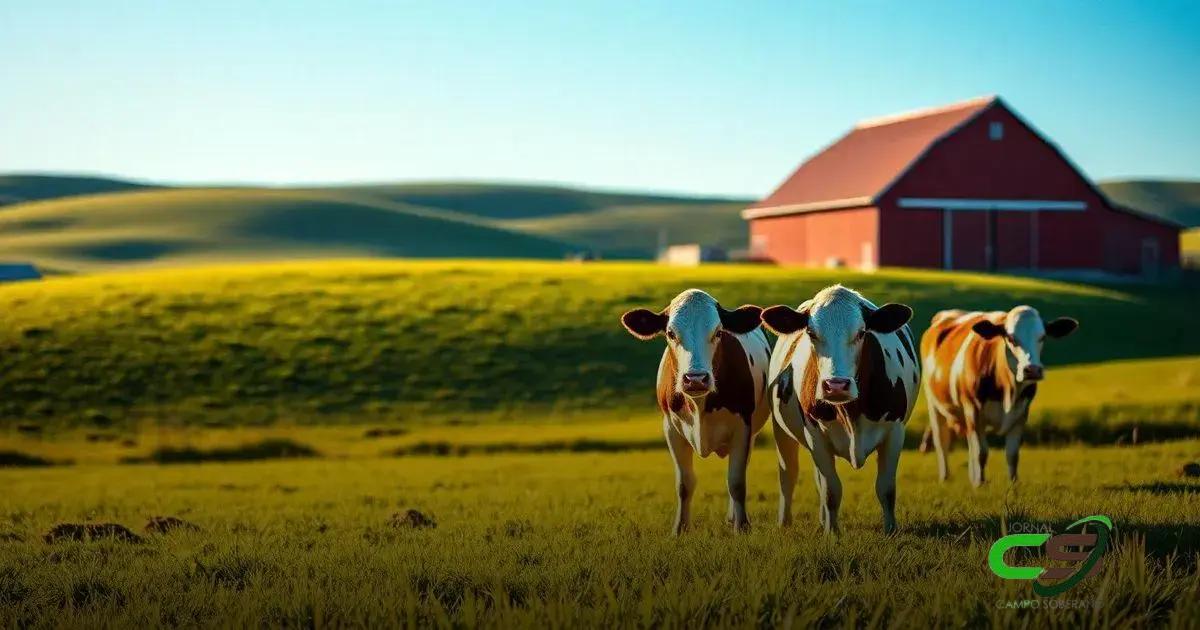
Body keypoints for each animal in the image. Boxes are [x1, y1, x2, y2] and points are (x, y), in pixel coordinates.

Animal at [621, 289, 771, 534]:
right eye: (670, 333)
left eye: (718, 332)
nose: (696, 379)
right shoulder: (671, 429)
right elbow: (684, 484)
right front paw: (680, 529)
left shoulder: (743, 428)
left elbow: (737, 481)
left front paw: (742, 527)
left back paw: (733, 518)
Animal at [761, 285, 919, 534]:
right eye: (811, 333)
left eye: (862, 333)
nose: (836, 385)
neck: (850, 414)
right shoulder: (815, 435)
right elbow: (831, 490)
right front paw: (832, 533)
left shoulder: (895, 431)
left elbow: (886, 488)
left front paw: (890, 530)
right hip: (780, 429)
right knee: (788, 475)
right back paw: (785, 523)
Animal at [919, 307, 1078, 486]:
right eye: (1010, 338)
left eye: (1042, 337)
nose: (1032, 370)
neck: (1008, 390)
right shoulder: (973, 411)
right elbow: (981, 452)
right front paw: (980, 484)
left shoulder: (1021, 414)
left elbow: (1012, 454)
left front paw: (1013, 483)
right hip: (934, 404)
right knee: (942, 441)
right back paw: (945, 477)